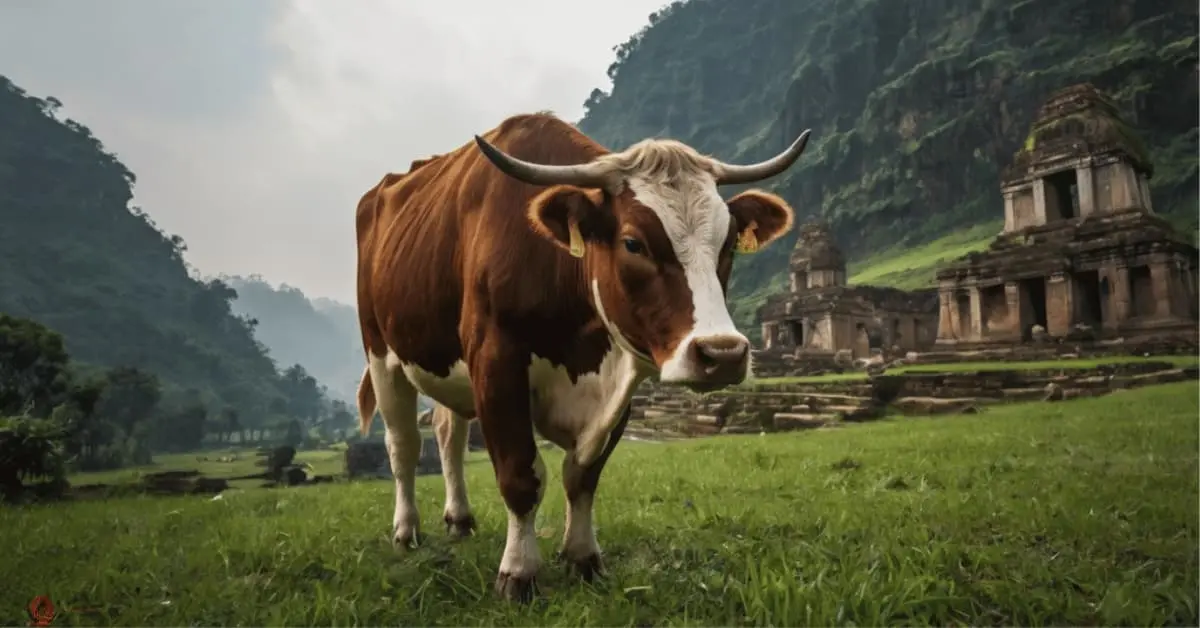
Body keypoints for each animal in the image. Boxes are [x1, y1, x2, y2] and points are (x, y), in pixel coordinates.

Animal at [355, 112, 810, 601]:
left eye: (727, 245)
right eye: (633, 243)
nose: (723, 353)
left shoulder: (621, 377)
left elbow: (583, 474)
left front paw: (583, 557)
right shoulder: (495, 362)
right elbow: (520, 476)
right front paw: (519, 572)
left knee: (447, 432)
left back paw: (459, 519)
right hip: (381, 354)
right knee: (403, 446)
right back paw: (406, 531)